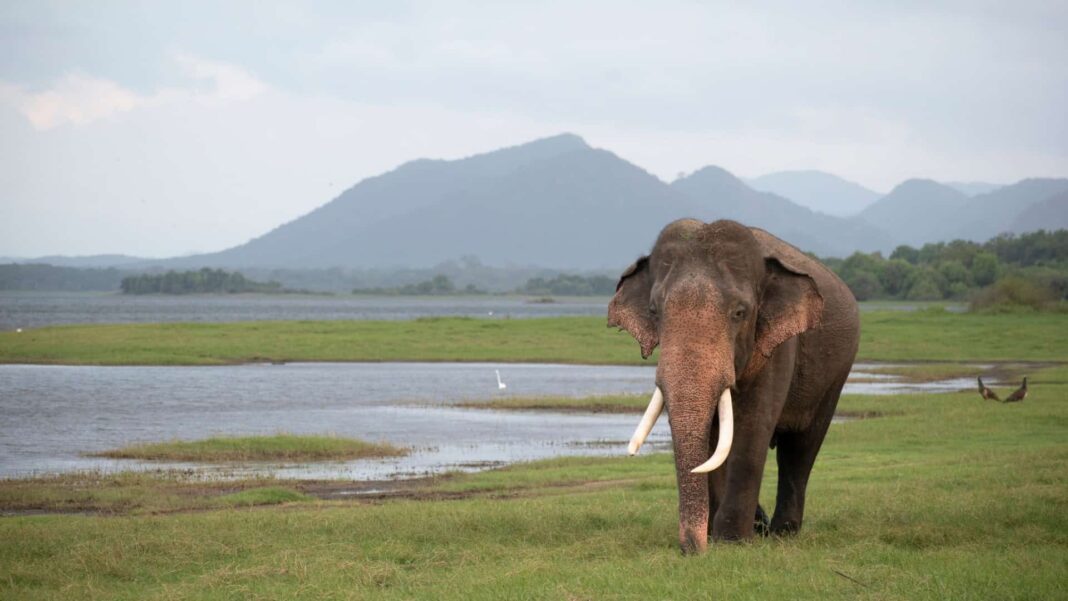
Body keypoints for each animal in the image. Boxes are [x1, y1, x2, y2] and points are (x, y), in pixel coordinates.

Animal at [607, 219, 860, 554]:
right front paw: (721, 537)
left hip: (835, 376)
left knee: (801, 447)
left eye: (740, 313)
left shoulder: (779, 346)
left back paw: (782, 533)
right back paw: (763, 526)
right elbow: (714, 441)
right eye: (653, 311)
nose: (691, 551)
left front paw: (732, 541)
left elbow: (751, 429)